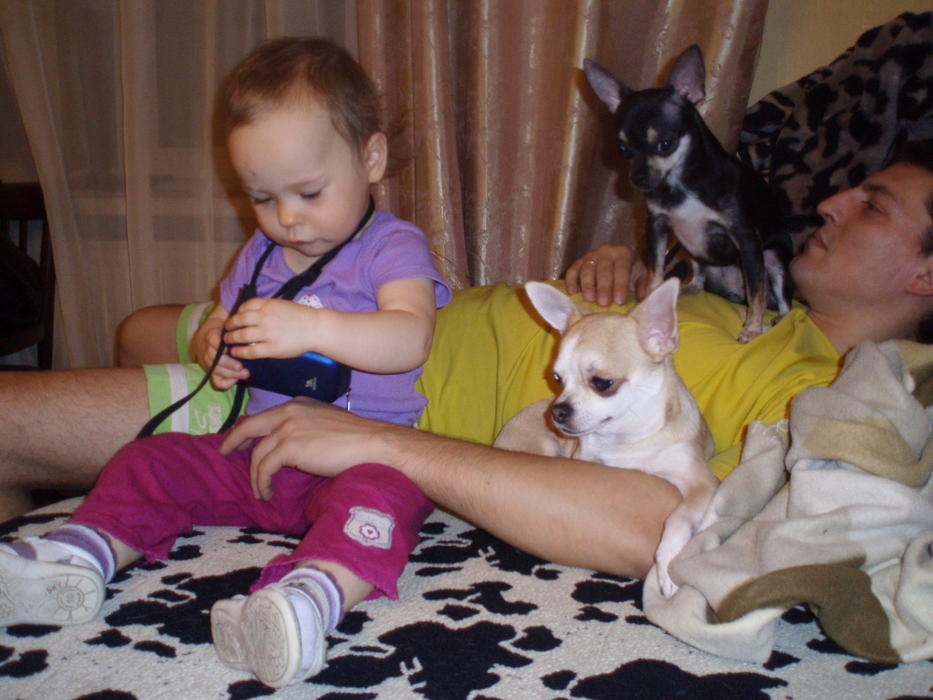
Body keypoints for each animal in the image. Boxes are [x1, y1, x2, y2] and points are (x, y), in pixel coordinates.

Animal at [495, 279, 718, 596]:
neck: (625, 439)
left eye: (602, 383)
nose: (558, 411)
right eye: (557, 379)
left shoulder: (703, 483)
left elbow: (678, 518)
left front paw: (667, 565)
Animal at [583, 45, 793, 343]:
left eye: (665, 144)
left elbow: (757, 293)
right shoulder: (657, 227)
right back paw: (680, 290)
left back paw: (776, 320)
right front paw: (650, 302)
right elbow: (655, 272)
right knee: (697, 281)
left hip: (773, 259)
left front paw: (752, 328)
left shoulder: (748, 240)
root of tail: (732, 290)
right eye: (622, 149)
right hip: (689, 249)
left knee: (782, 302)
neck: (681, 184)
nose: (638, 179)